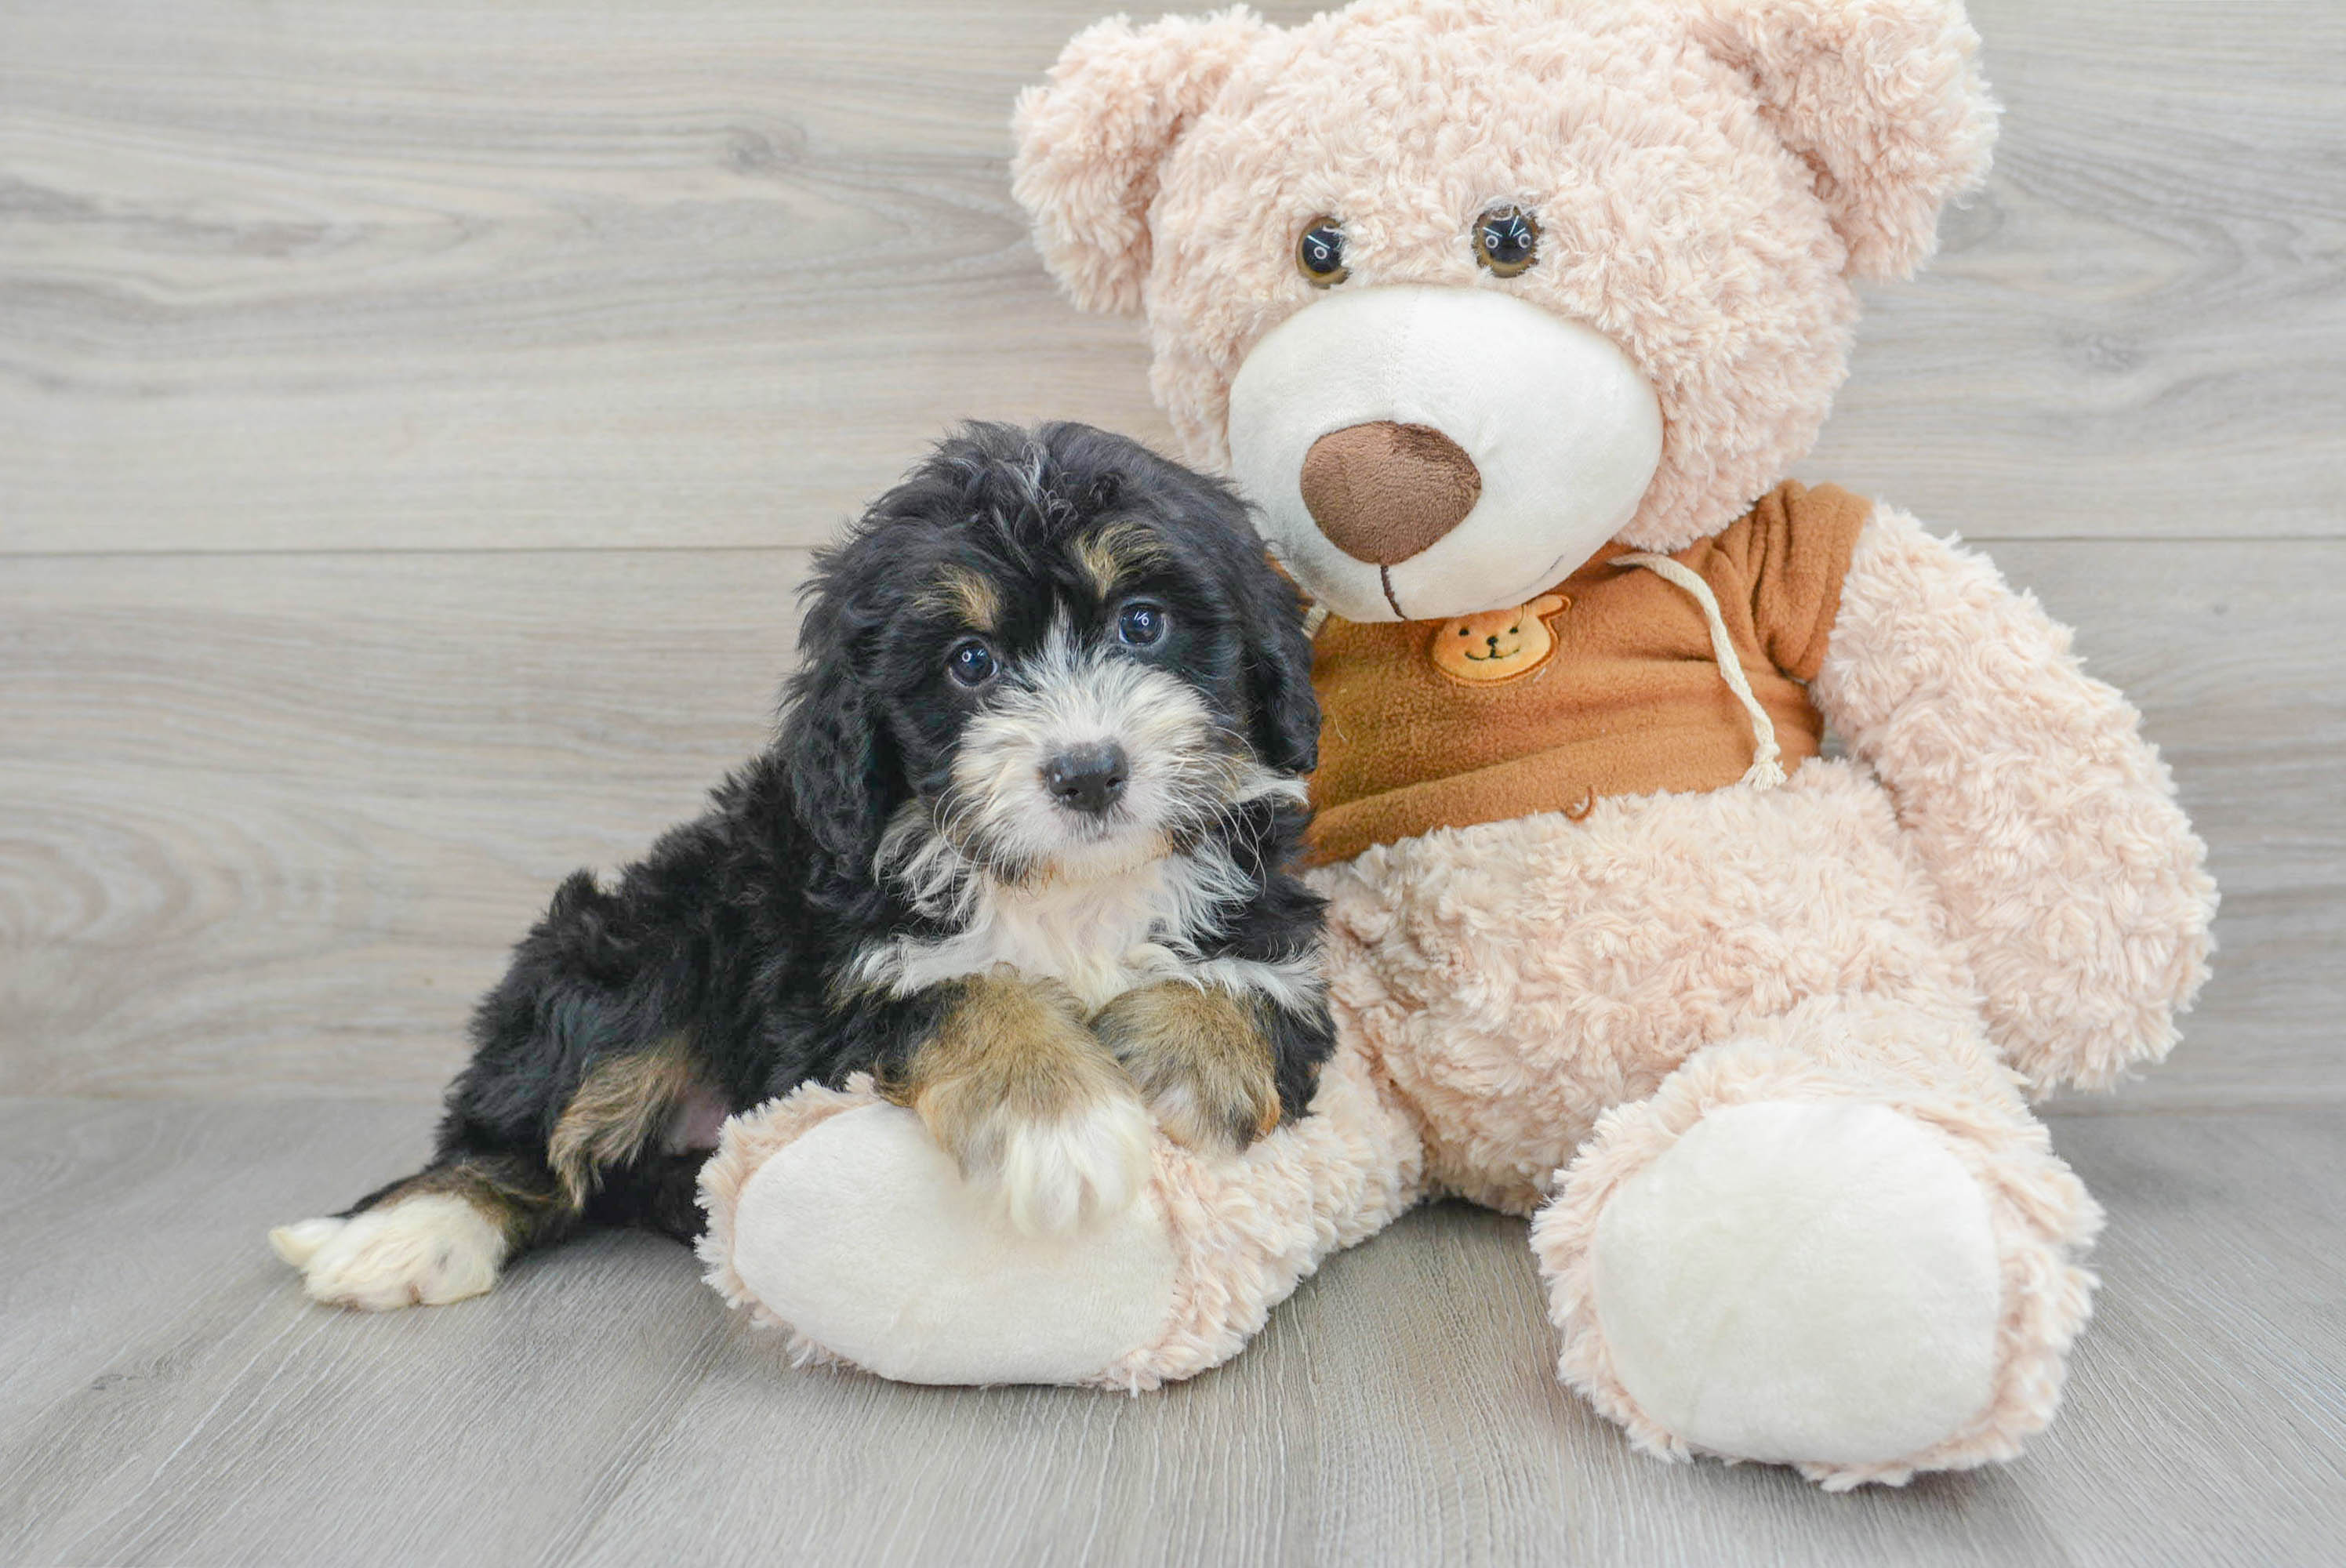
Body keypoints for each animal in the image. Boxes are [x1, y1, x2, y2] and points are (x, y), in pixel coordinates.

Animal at [270, 419, 1342, 1314]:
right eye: (969, 662)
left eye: (1142, 622)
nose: (1086, 772)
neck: (1065, 885)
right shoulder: (831, 985)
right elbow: (965, 990)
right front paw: (1058, 1123)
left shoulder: (1274, 924)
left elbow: (1244, 987)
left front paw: (1180, 1075)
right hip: (646, 945)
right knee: (532, 1123)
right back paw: (409, 1232)